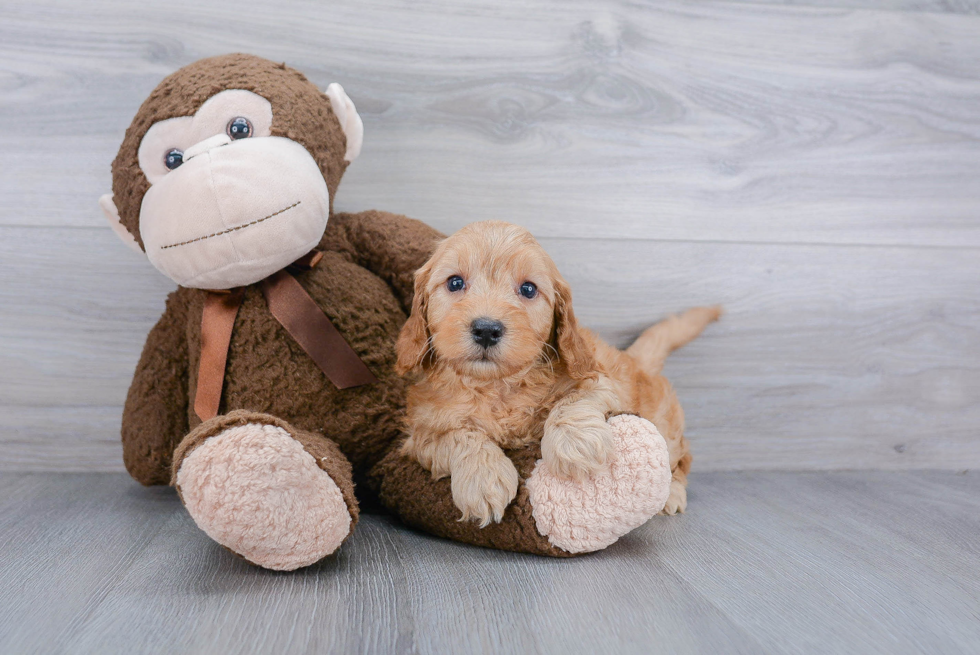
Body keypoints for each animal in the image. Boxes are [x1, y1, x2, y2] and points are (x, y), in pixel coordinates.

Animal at [394, 222, 724, 528]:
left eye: (528, 289)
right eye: (455, 282)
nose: (487, 329)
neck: (499, 385)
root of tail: (636, 359)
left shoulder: (601, 381)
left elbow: (572, 401)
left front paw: (576, 445)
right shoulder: (421, 433)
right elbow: (459, 436)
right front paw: (483, 478)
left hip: (667, 428)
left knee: (681, 459)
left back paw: (672, 494)